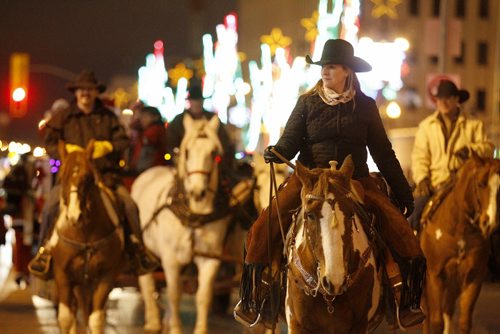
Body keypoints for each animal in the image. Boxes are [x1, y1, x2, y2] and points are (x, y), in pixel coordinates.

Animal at [50, 141, 125, 334]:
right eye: (61, 177)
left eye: (88, 178)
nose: (74, 215)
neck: (84, 236)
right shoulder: (62, 274)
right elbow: (65, 318)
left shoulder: (107, 276)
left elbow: (96, 319)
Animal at [133, 115, 234, 334]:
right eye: (187, 152)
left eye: (214, 153)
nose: (197, 192)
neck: (194, 214)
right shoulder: (171, 258)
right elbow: (174, 294)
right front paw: (175, 328)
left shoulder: (210, 259)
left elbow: (203, 296)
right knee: (147, 281)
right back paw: (153, 320)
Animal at [420, 157, 498, 334]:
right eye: (481, 183)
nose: (489, 223)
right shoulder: (435, 276)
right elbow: (436, 322)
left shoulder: (473, 277)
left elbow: (463, 322)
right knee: (427, 316)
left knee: (447, 310)